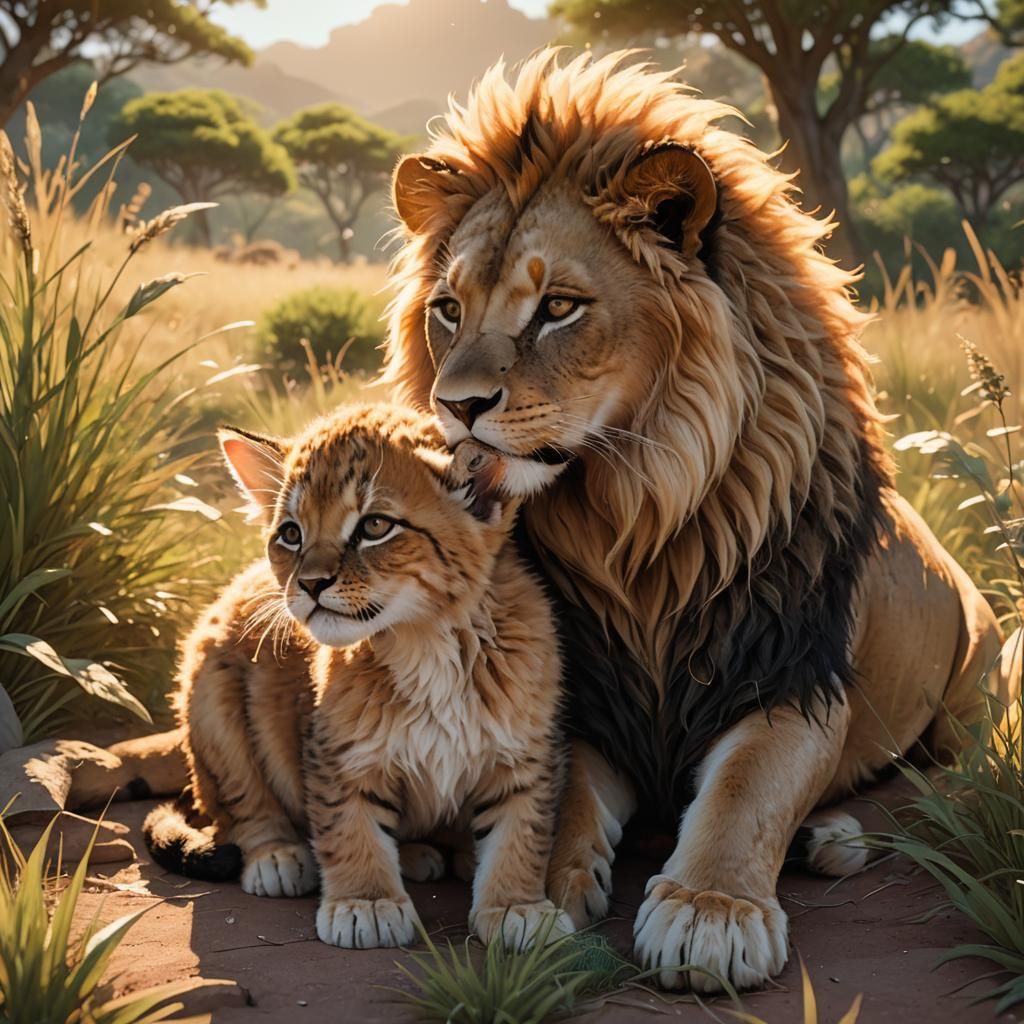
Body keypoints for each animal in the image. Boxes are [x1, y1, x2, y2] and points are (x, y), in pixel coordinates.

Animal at [380, 50, 1012, 991]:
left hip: (982, 674)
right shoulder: (588, 696)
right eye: (448, 308)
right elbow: (564, 795)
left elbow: (746, 789)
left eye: (558, 307)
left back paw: (835, 835)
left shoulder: (794, 675)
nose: (455, 408)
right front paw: (545, 886)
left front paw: (709, 912)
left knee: (937, 784)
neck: (633, 522)